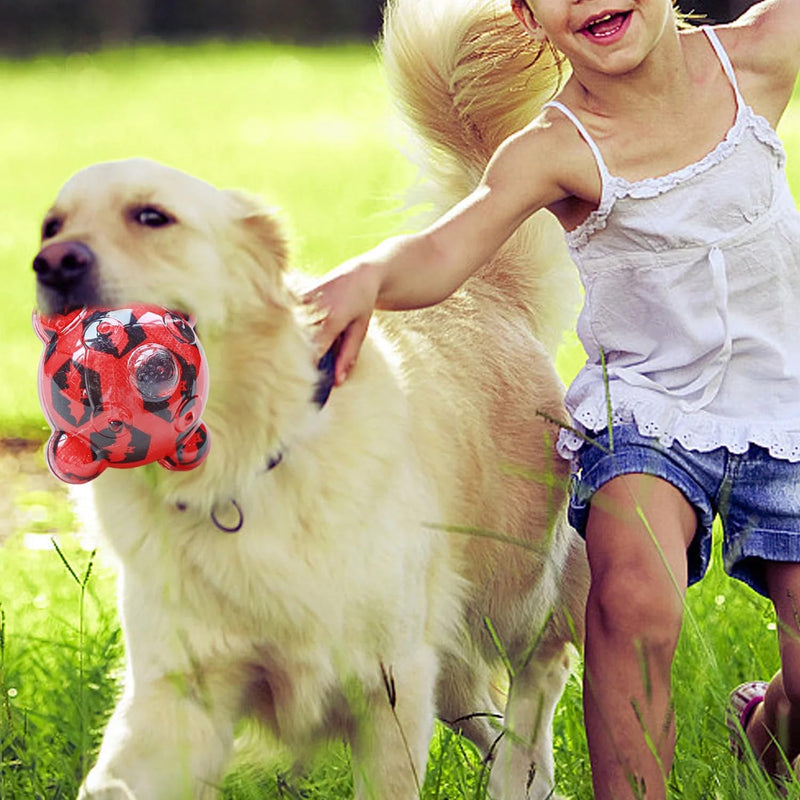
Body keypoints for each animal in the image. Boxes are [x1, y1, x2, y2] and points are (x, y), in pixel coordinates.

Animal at [34, 1, 584, 800]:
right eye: (52, 226)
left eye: (151, 217)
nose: (50, 265)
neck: (237, 465)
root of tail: (483, 291)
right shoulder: (179, 697)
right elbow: (115, 782)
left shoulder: (389, 683)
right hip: (448, 643)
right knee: (483, 709)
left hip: (513, 585)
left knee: (542, 670)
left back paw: (520, 772)